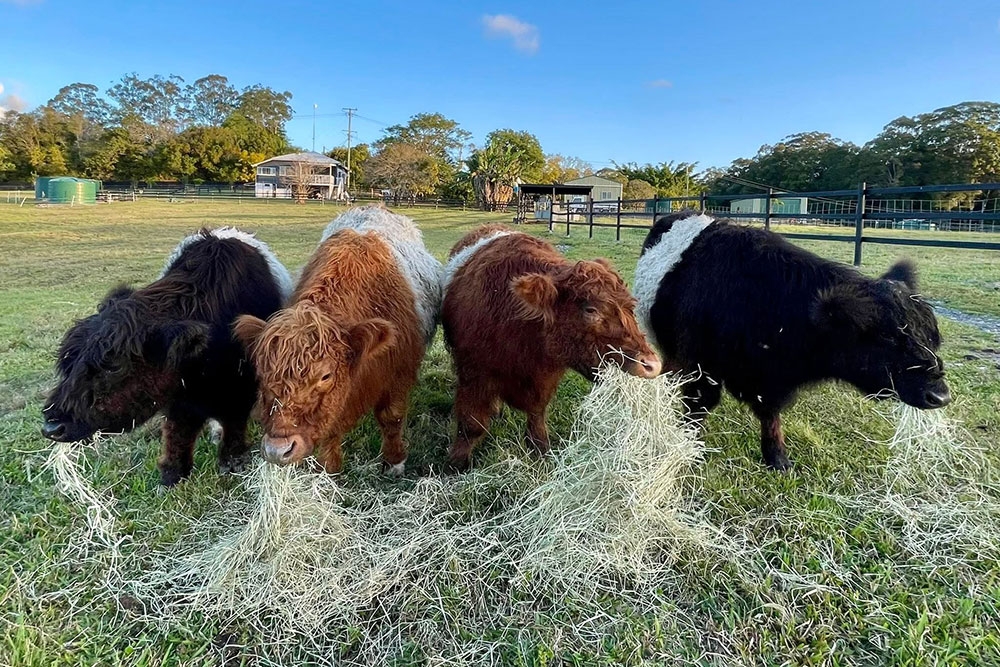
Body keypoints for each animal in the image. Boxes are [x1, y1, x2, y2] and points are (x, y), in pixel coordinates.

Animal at [41, 228, 293, 486]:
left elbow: (233, 425)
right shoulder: (177, 397)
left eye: (114, 366)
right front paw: (172, 474)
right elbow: (177, 432)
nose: (52, 426)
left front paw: (232, 462)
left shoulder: (239, 389)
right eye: (68, 361)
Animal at [233, 206, 442, 476]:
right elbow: (330, 435)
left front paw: (394, 461)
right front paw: (329, 471)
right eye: (261, 373)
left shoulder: (400, 373)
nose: (278, 450)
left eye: (325, 376)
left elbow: (391, 418)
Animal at [442, 225, 662, 471]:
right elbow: (471, 425)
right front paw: (456, 463)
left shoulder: (544, 379)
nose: (652, 364)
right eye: (590, 310)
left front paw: (541, 452)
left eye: (630, 308)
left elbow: (537, 417)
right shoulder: (473, 374)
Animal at [634, 211, 952, 470]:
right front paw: (690, 447)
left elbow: (770, 416)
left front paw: (777, 458)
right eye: (887, 336)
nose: (939, 396)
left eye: (932, 336)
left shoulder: (770, 381)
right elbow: (699, 406)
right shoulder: (702, 365)